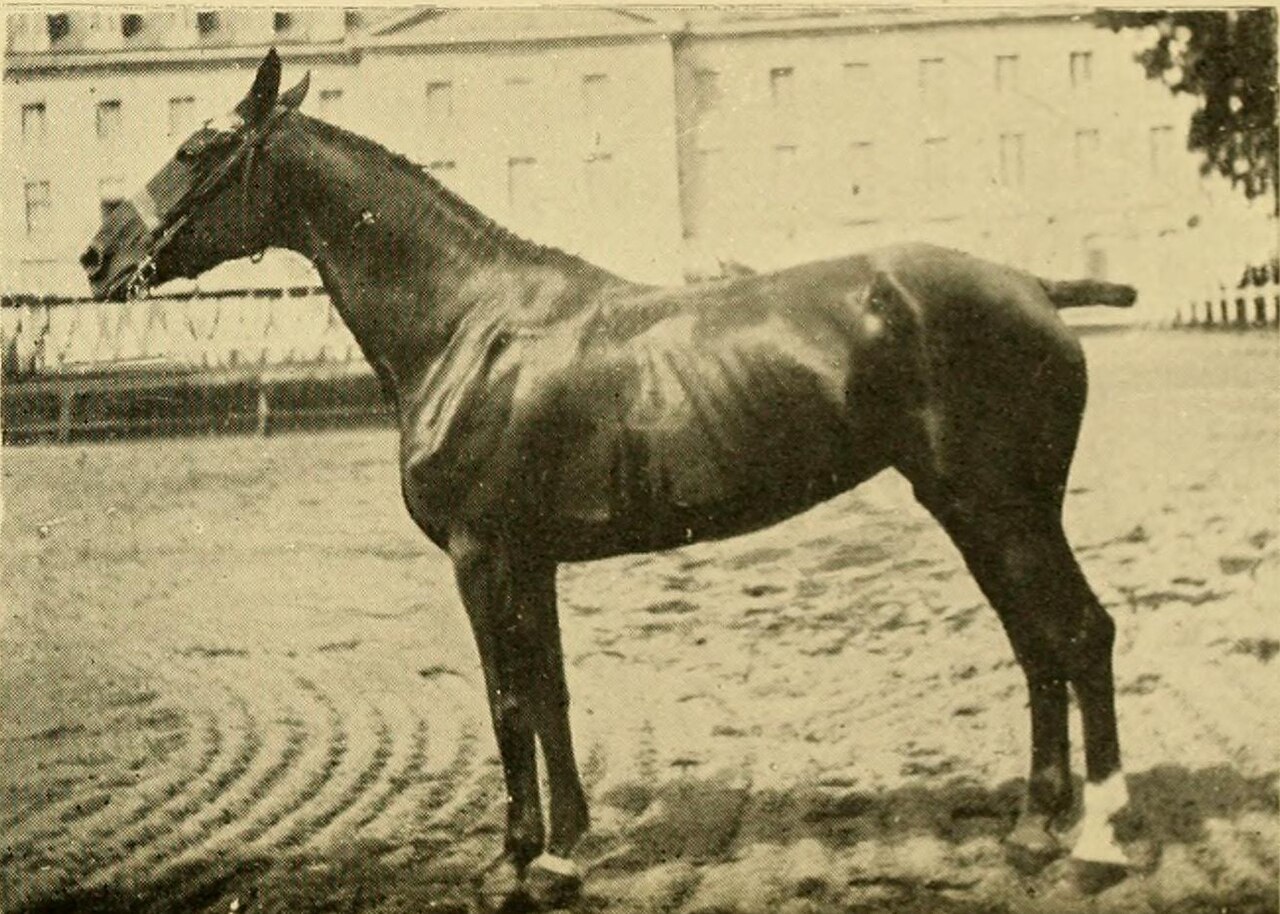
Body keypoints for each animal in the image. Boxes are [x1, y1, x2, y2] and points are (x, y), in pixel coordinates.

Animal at [83, 49, 1137, 905]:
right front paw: (564, 855)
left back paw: (1099, 845)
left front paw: (514, 862)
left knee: (1081, 634)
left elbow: (508, 701)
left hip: (1004, 506)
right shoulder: (531, 559)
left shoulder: (482, 556)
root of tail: (1036, 286)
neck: (468, 325)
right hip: (971, 507)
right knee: (1036, 643)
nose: (98, 256)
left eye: (195, 149)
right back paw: (1034, 829)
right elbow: (550, 694)